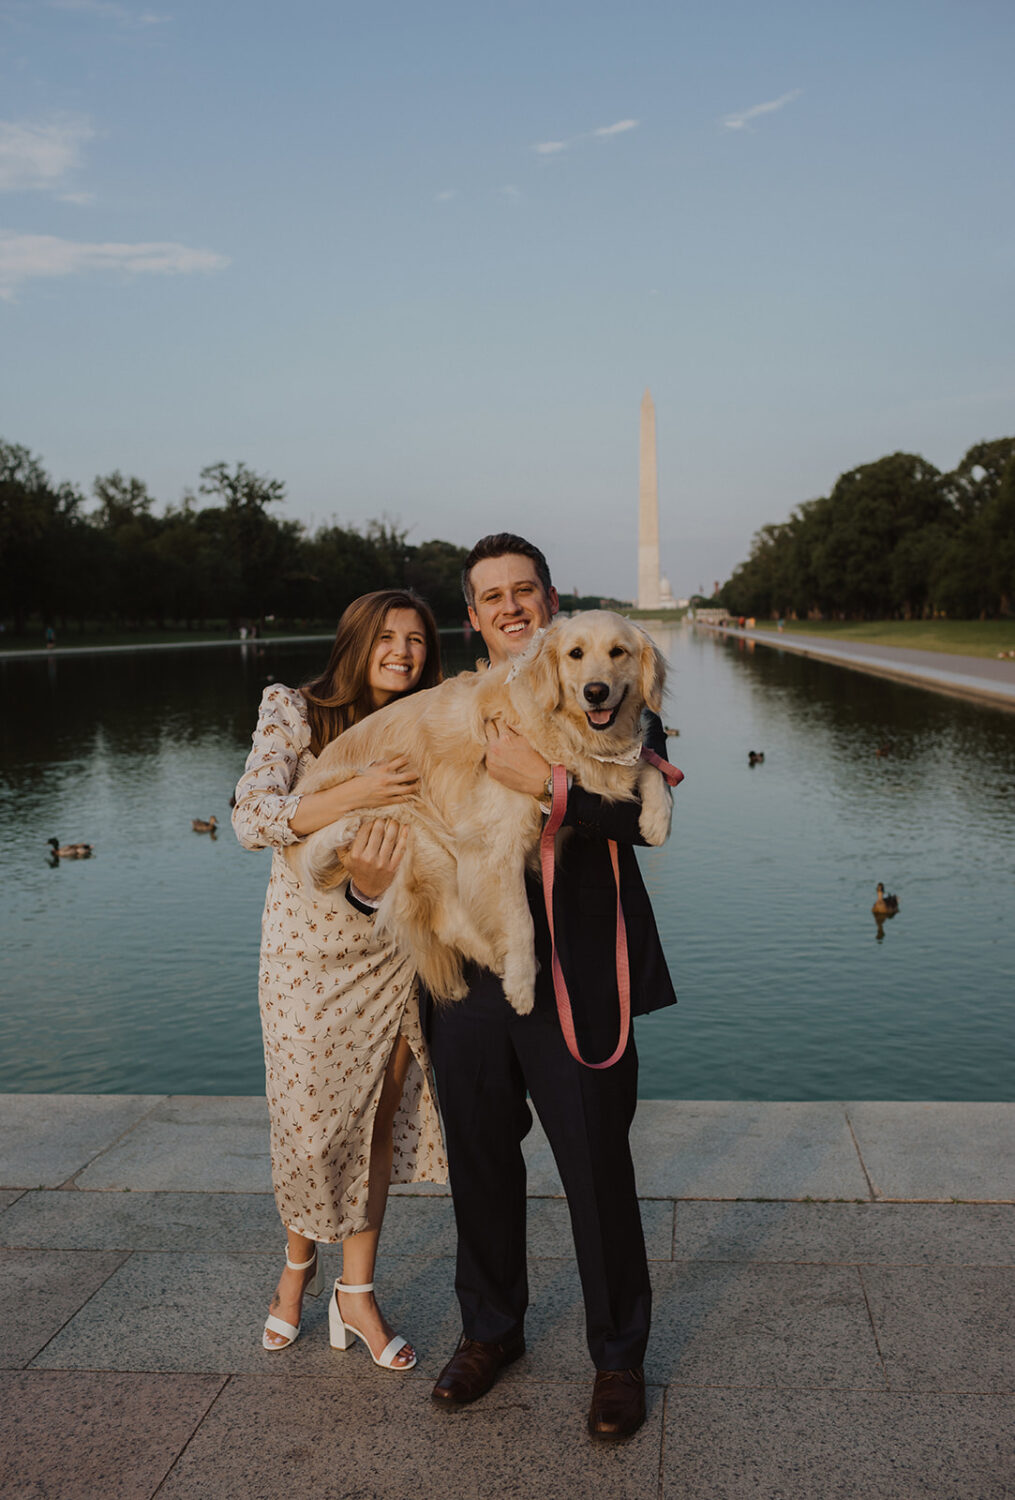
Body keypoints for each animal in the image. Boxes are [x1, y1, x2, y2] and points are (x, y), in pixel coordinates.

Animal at [284, 612, 671, 1020]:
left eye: (618, 652)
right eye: (575, 654)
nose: (596, 691)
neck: (561, 729)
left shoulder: (604, 769)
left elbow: (648, 763)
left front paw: (657, 819)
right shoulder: (494, 846)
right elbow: (521, 921)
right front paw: (521, 985)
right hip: (413, 828)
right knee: (445, 920)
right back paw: (497, 962)